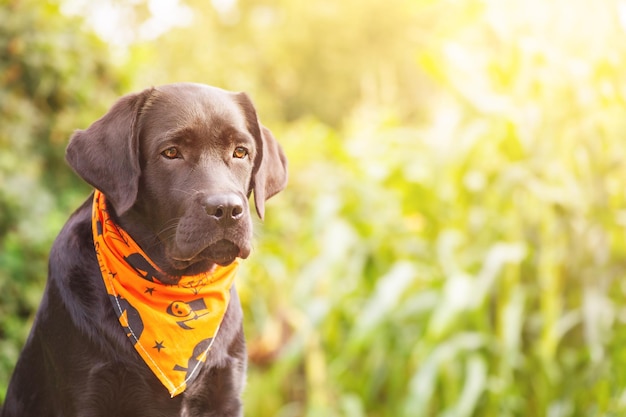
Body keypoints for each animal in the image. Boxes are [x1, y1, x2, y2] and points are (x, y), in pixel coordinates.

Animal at [0, 83, 286, 414]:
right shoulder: (86, 391)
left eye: (241, 152)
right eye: (171, 153)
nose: (227, 209)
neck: (175, 287)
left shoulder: (225, 394)